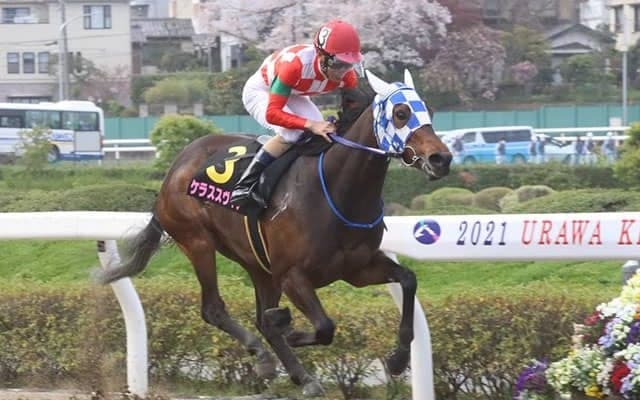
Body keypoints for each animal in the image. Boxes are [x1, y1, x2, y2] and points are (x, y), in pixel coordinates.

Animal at [95, 69, 452, 397]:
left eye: (430, 112)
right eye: (401, 113)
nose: (441, 158)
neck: (338, 191)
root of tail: (174, 169)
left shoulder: (357, 268)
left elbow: (408, 279)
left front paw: (398, 359)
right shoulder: (293, 275)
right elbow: (324, 327)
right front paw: (290, 330)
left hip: (259, 265)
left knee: (259, 317)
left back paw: (298, 372)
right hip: (197, 241)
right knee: (214, 309)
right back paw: (267, 357)